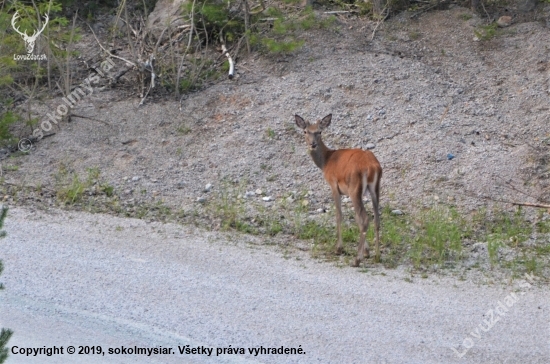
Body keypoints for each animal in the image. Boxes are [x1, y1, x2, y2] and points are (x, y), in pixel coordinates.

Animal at [298, 114, 384, 268]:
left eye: (319, 132)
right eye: (305, 131)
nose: (312, 144)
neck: (325, 162)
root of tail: (372, 166)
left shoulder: (333, 185)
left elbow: (339, 215)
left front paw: (339, 248)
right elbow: (354, 218)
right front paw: (367, 251)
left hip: (355, 188)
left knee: (364, 219)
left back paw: (356, 260)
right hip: (375, 188)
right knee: (375, 218)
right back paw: (377, 256)